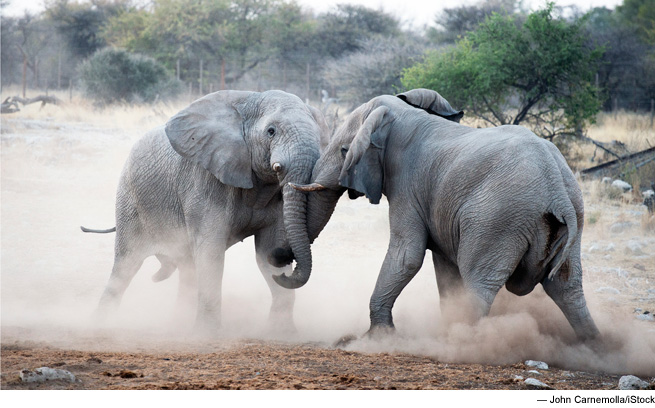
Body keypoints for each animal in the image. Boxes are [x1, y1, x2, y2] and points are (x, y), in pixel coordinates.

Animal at [88, 90, 328, 334]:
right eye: (271, 131)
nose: (285, 267)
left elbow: (265, 251)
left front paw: (282, 333)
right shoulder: (204, 180)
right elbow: (211, 252)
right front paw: (208, 334)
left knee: (186, 265)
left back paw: (177, 322)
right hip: (130, 201)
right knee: (126, 263)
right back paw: (100, 325)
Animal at [292, 88, 600, 341]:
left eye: (343, 150)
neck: (402, 115)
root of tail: (556, 187)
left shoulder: (407, 187)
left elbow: (407, 256)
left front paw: (374, 338)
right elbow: (444, 270)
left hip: (497, 219)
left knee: (480, 282)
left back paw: (459, 342)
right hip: (570, 216)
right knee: (567, 287)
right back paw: (594, 345)